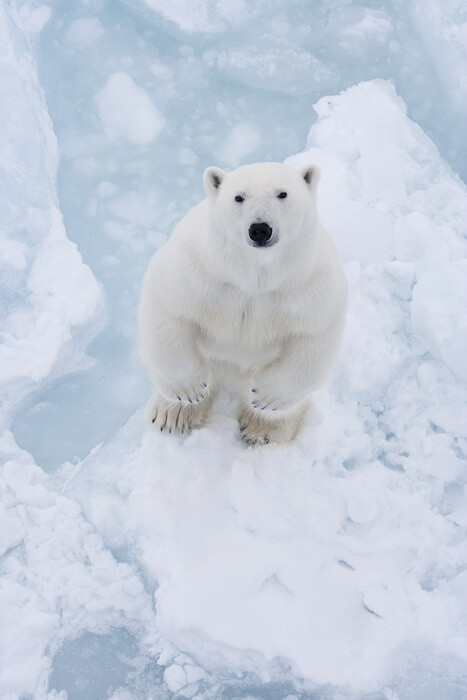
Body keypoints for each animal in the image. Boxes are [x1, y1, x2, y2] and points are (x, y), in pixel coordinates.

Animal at [139, 161, 348, 442]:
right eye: (239, 197)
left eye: (282, 194)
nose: (260, 229)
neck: (252, 279)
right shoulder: (199, 271)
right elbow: (169, 309)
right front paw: (188, 392)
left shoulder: (306, 285)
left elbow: (314, 336)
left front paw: (267, 399)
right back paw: (171, 413)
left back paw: (262, 429)